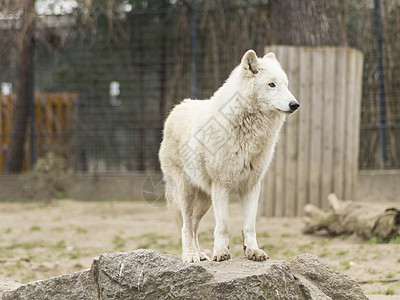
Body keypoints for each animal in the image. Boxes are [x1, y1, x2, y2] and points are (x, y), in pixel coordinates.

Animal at [158, 49, 298, 262]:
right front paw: (221, 252)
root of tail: (178, 107)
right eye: (271, 85)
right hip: (186, 193)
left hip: (205, 200)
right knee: (186, 226)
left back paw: (200, 254)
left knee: (195, 226)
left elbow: (249, 226)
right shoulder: (221, 185)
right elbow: (223, 226)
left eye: (286, 85)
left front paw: (252, 251)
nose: (295, 104)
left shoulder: (252, 186)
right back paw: (190, 255)